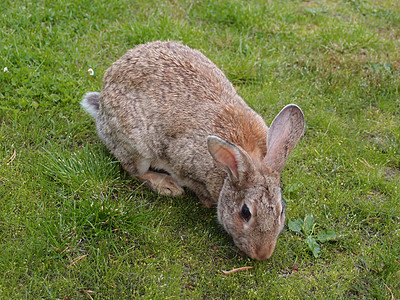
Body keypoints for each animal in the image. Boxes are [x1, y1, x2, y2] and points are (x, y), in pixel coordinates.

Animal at [82, 40, 306, 260]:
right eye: (245, 213)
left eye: (281, 211)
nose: (263, 254)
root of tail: (102, 100)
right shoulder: (184, 166)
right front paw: (203, 200)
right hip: (137, 146)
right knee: (134, 170)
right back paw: (167, 185)